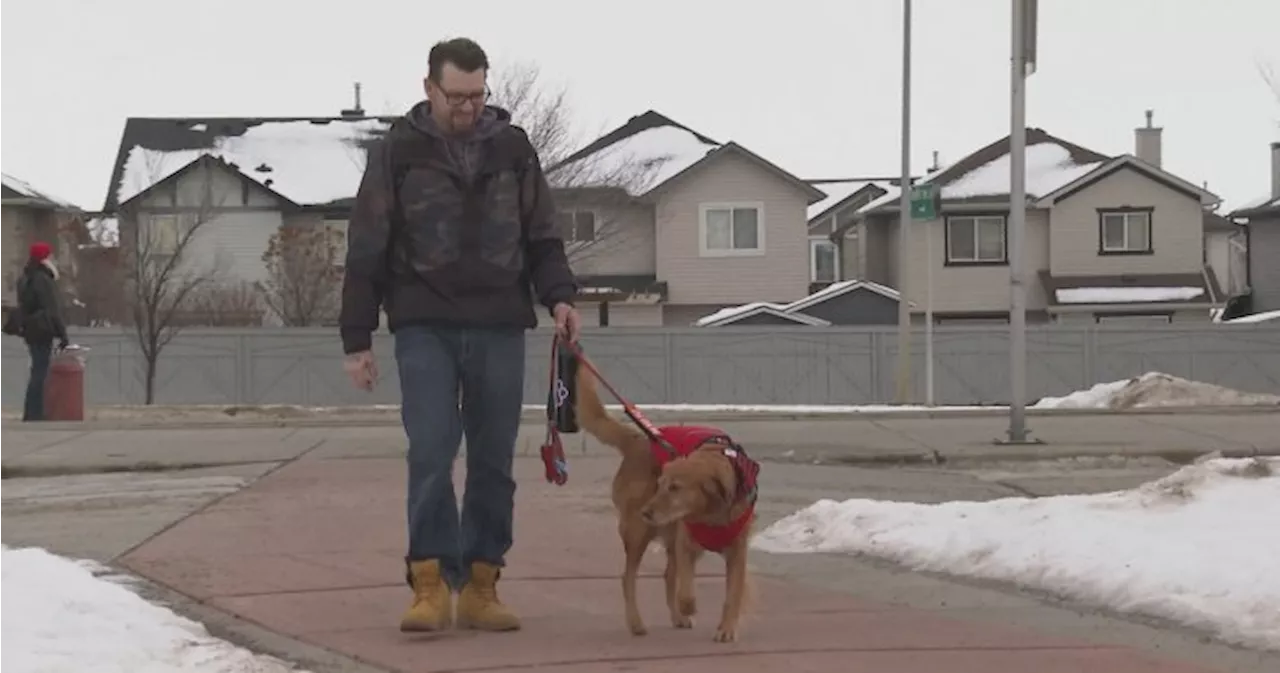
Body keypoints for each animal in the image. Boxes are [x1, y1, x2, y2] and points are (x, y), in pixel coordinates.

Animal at [573, 363, 757, 644]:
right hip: (638, 532)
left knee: (667, 575)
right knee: (628, 578)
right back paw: (637, 622)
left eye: (675, 488)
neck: (711, 513)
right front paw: (689, 606)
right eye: (660, 485)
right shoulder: (686, 543)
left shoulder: (737, 552)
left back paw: (677, 617)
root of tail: (638, 440)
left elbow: (733, 594)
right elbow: (686, 587)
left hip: (665, 531)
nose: (646, 511)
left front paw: (726, 628)